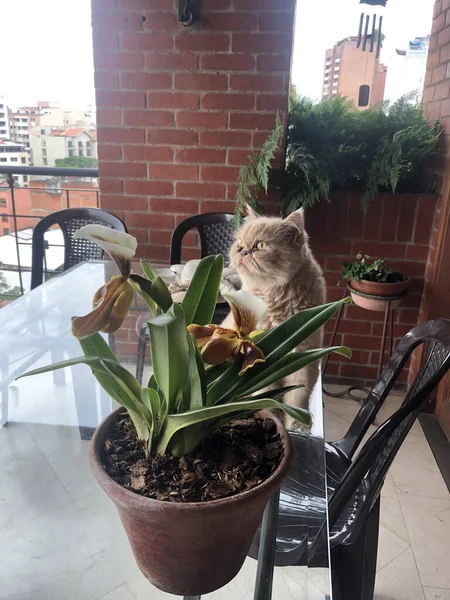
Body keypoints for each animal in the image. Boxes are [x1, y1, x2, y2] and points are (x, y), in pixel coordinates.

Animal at [227, 206, 326, 426]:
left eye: (261, 245)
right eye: (240, 244)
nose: (242, 251)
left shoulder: (305, 360)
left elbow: (298, 398)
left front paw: (296, 423)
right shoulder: (261, 362)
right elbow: (267, 397)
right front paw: (273, 416)